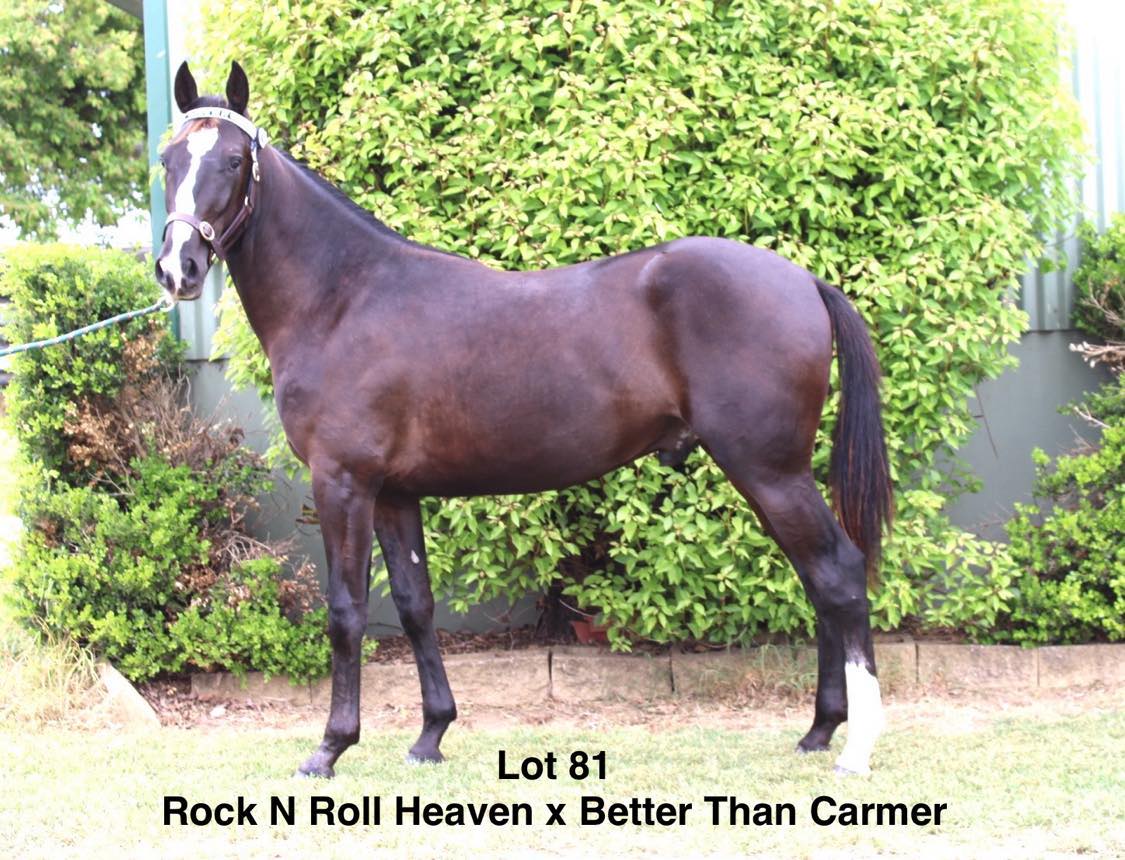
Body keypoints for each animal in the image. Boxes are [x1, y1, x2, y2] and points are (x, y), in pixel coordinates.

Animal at [155, 61, 893, 777]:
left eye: (231, 161)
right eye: (168, 159)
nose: (176, 268)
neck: (344, 297)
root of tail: (803, 282)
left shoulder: (343, 483)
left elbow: (346, 611)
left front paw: (330, 748)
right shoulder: (394, 493)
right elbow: (416, 606)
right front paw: (430, 736)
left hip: (769, 470)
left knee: (837, 574)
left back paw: (854, 748)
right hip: (768, 475)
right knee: (817, 581)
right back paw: (819, 730)